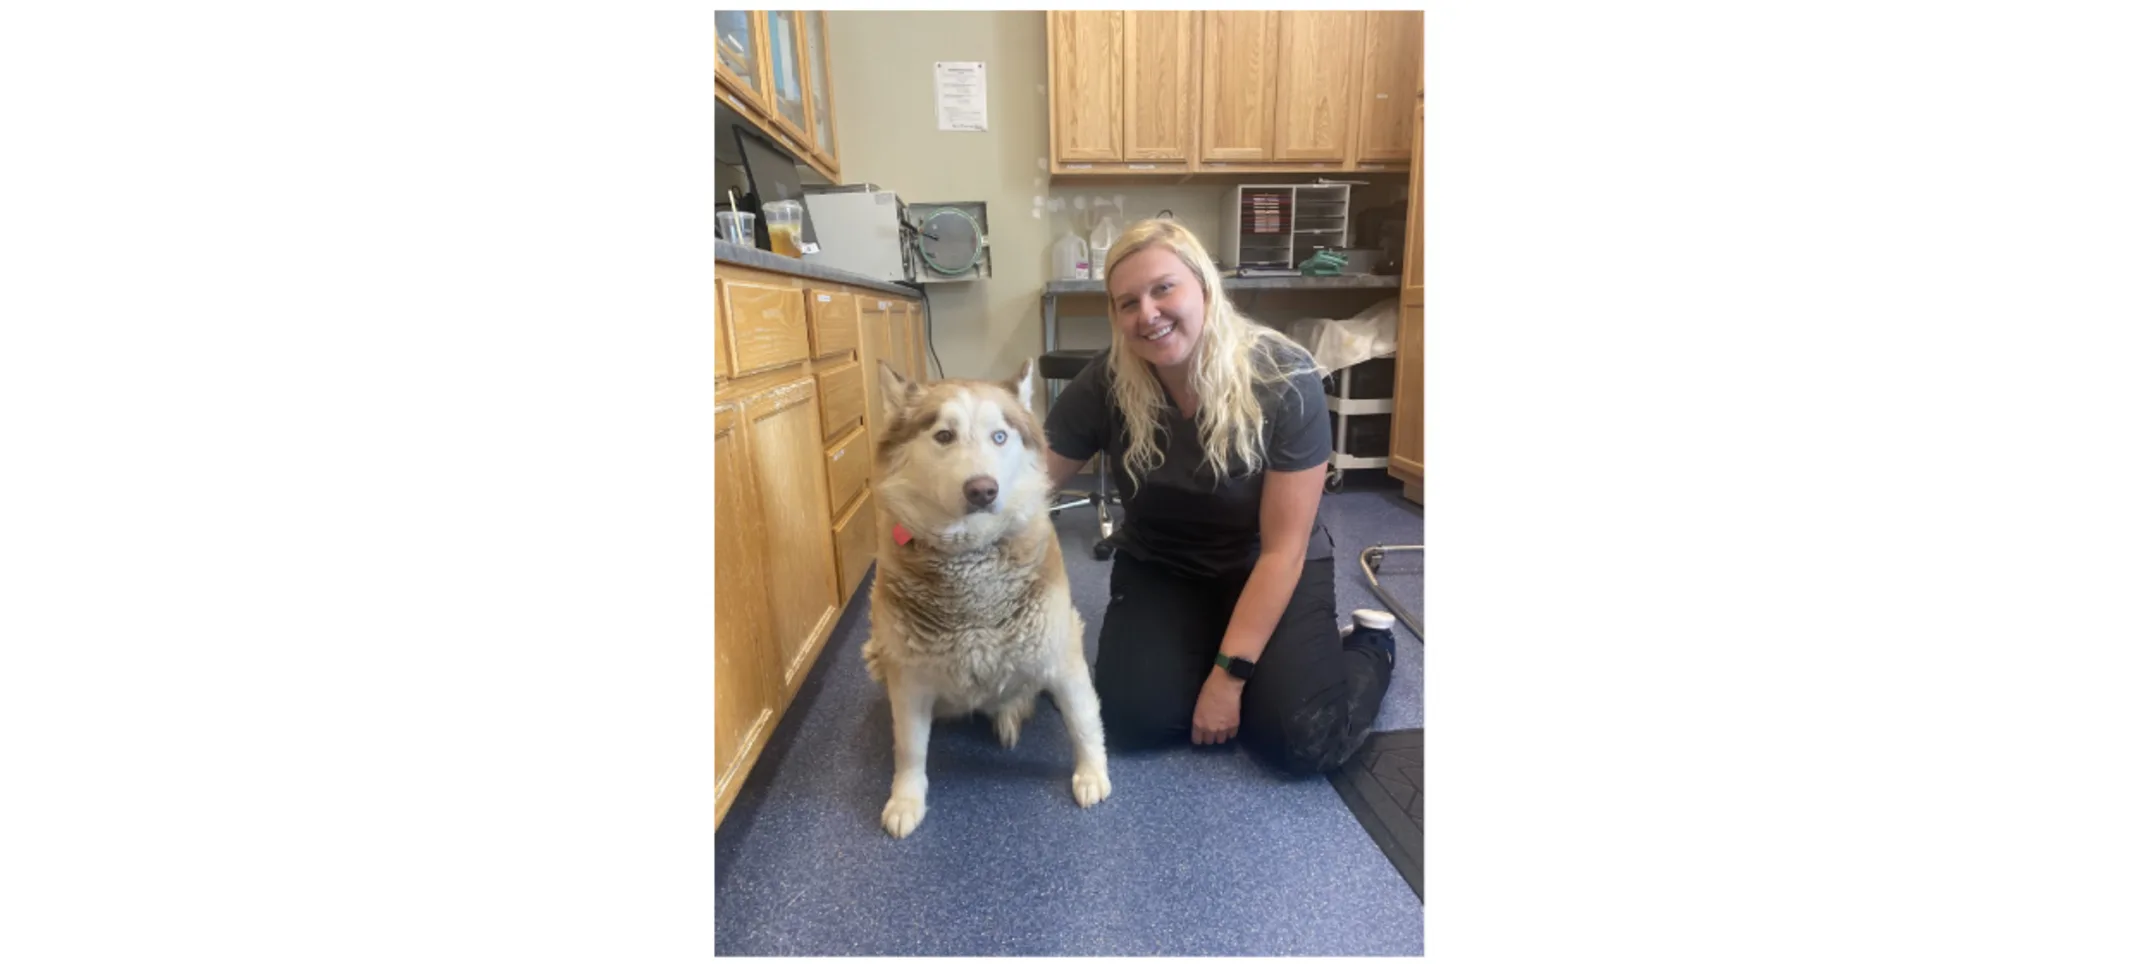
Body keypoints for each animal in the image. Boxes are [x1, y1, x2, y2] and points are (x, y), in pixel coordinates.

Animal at [860, 359, 1112, 835]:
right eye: (943, 436)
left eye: (999, 436)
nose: (982, 489)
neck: (971, 558)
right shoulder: (908, 680)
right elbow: (909, 748)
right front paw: (905, 799)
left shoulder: (1060, 655)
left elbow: (1084, 721)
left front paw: (1092, 773)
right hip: (879, 653)